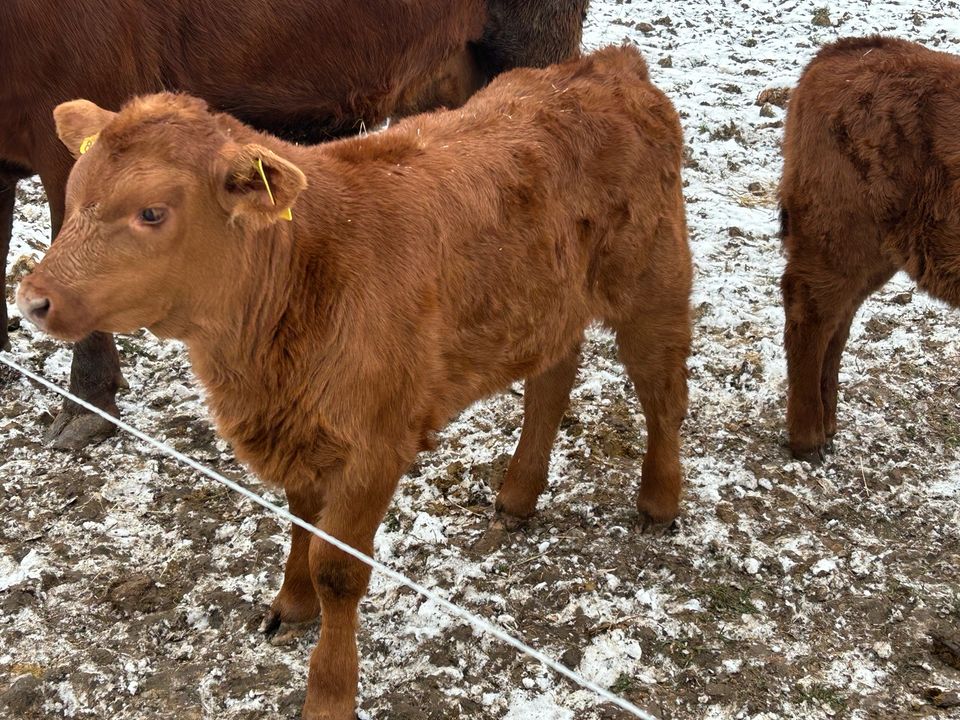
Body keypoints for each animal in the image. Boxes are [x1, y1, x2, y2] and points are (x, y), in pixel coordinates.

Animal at [15, 46, 688, 720]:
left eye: (152, 211)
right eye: (73, 195)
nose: (32, 298)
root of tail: (607, 67)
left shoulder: (375, 446)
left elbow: (338, 568)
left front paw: (330, 691)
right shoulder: (299, 429)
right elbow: (300, 527)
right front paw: (291, 604)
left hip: (654, 284)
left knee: (663, 394)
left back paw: (658, 502)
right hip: (547, 304)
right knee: (552, 379)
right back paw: (518, 495)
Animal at [780, 35, 960, 462]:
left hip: (875, 254)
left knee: (837, 323)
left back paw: (828, 426)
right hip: (839, 240)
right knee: (810, 318)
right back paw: (809, 438)